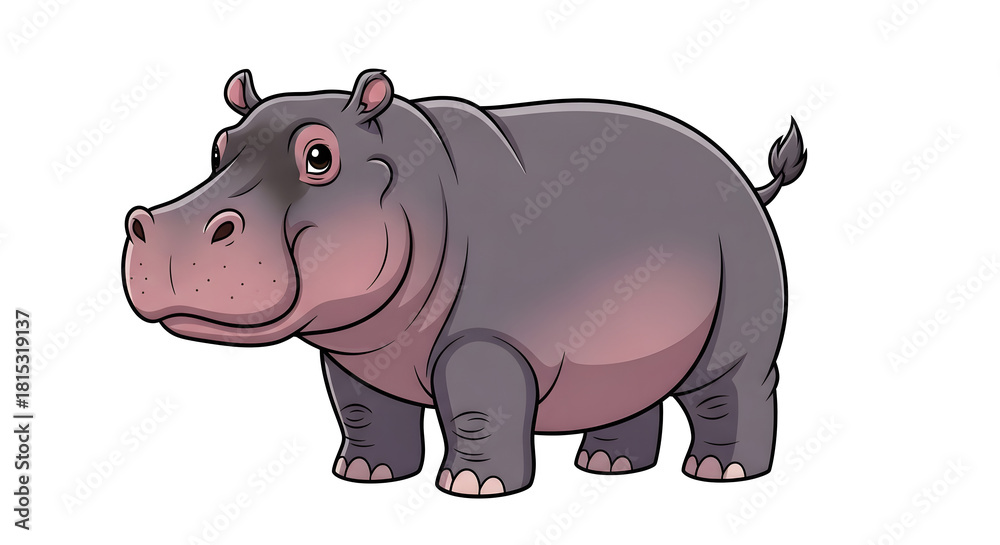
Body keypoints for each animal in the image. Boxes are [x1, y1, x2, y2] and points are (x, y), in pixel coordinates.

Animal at [122, 68, 807, 497]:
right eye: (218, 147)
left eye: (319, 156)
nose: (155, 224)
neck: (417, 184)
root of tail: (749, 182)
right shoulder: (354, 357)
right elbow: (365, 413)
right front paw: (365, 475)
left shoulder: (486, 342)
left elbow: (476, 406)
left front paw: (473, 488)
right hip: (628, 348)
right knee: (631, 394)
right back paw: (606, 466)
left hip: (738, 325)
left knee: (737, 390)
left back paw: (720, 472)